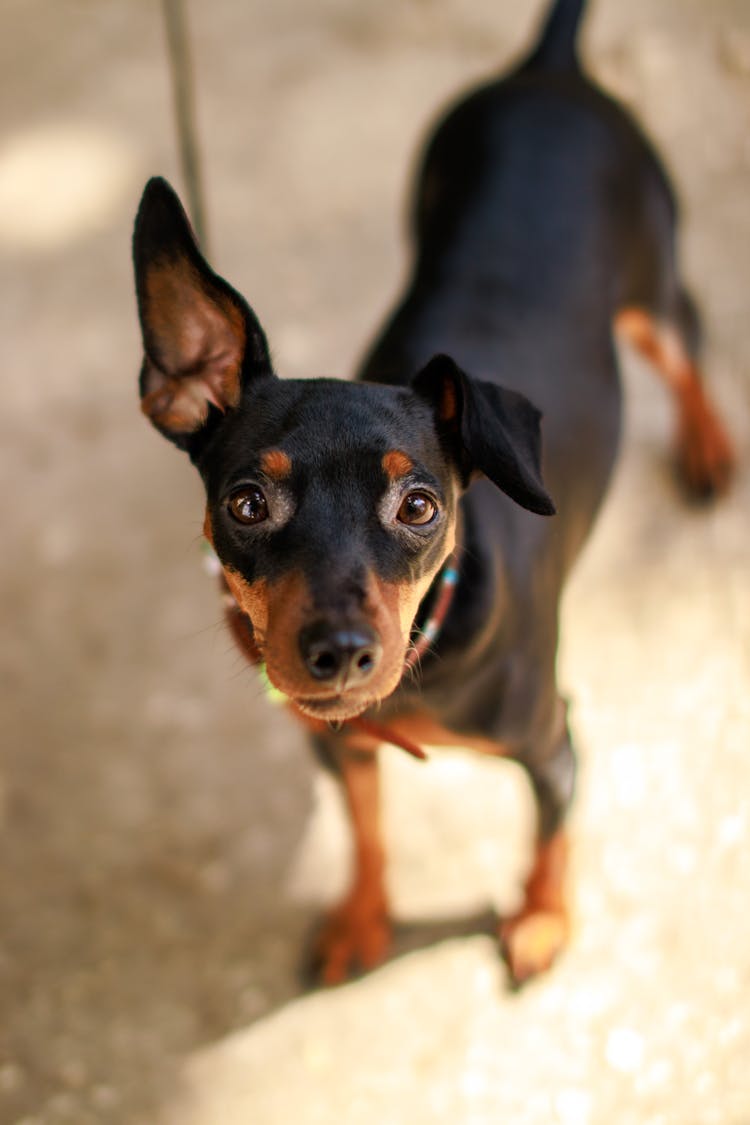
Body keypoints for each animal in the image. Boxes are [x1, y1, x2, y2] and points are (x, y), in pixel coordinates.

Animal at [133, 0, 733, 985]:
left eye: (419, 505)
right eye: (246, 504)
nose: (337, 652)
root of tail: (549, 68)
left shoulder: (556, 744)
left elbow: (550, 838)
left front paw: (541, 921)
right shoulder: (338, 749)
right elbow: (369, 836)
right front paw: (361, 920)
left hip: (654, 286)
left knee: (688, 342)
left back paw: (711, 446)